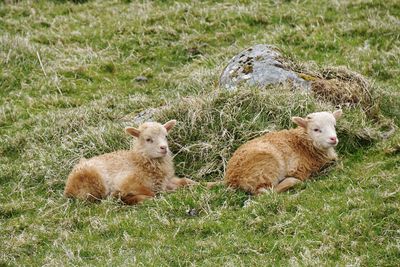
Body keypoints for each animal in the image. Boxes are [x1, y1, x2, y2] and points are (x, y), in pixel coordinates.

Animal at [63, 120, 196, 206]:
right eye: (148, 139)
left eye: (166, 136)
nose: (164, 148)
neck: (140, 162)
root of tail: (68, 187)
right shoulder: (126, 183)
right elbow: (151, 193)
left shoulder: (167, 181)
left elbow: (185, 181)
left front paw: (200, 184)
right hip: (95, 183)